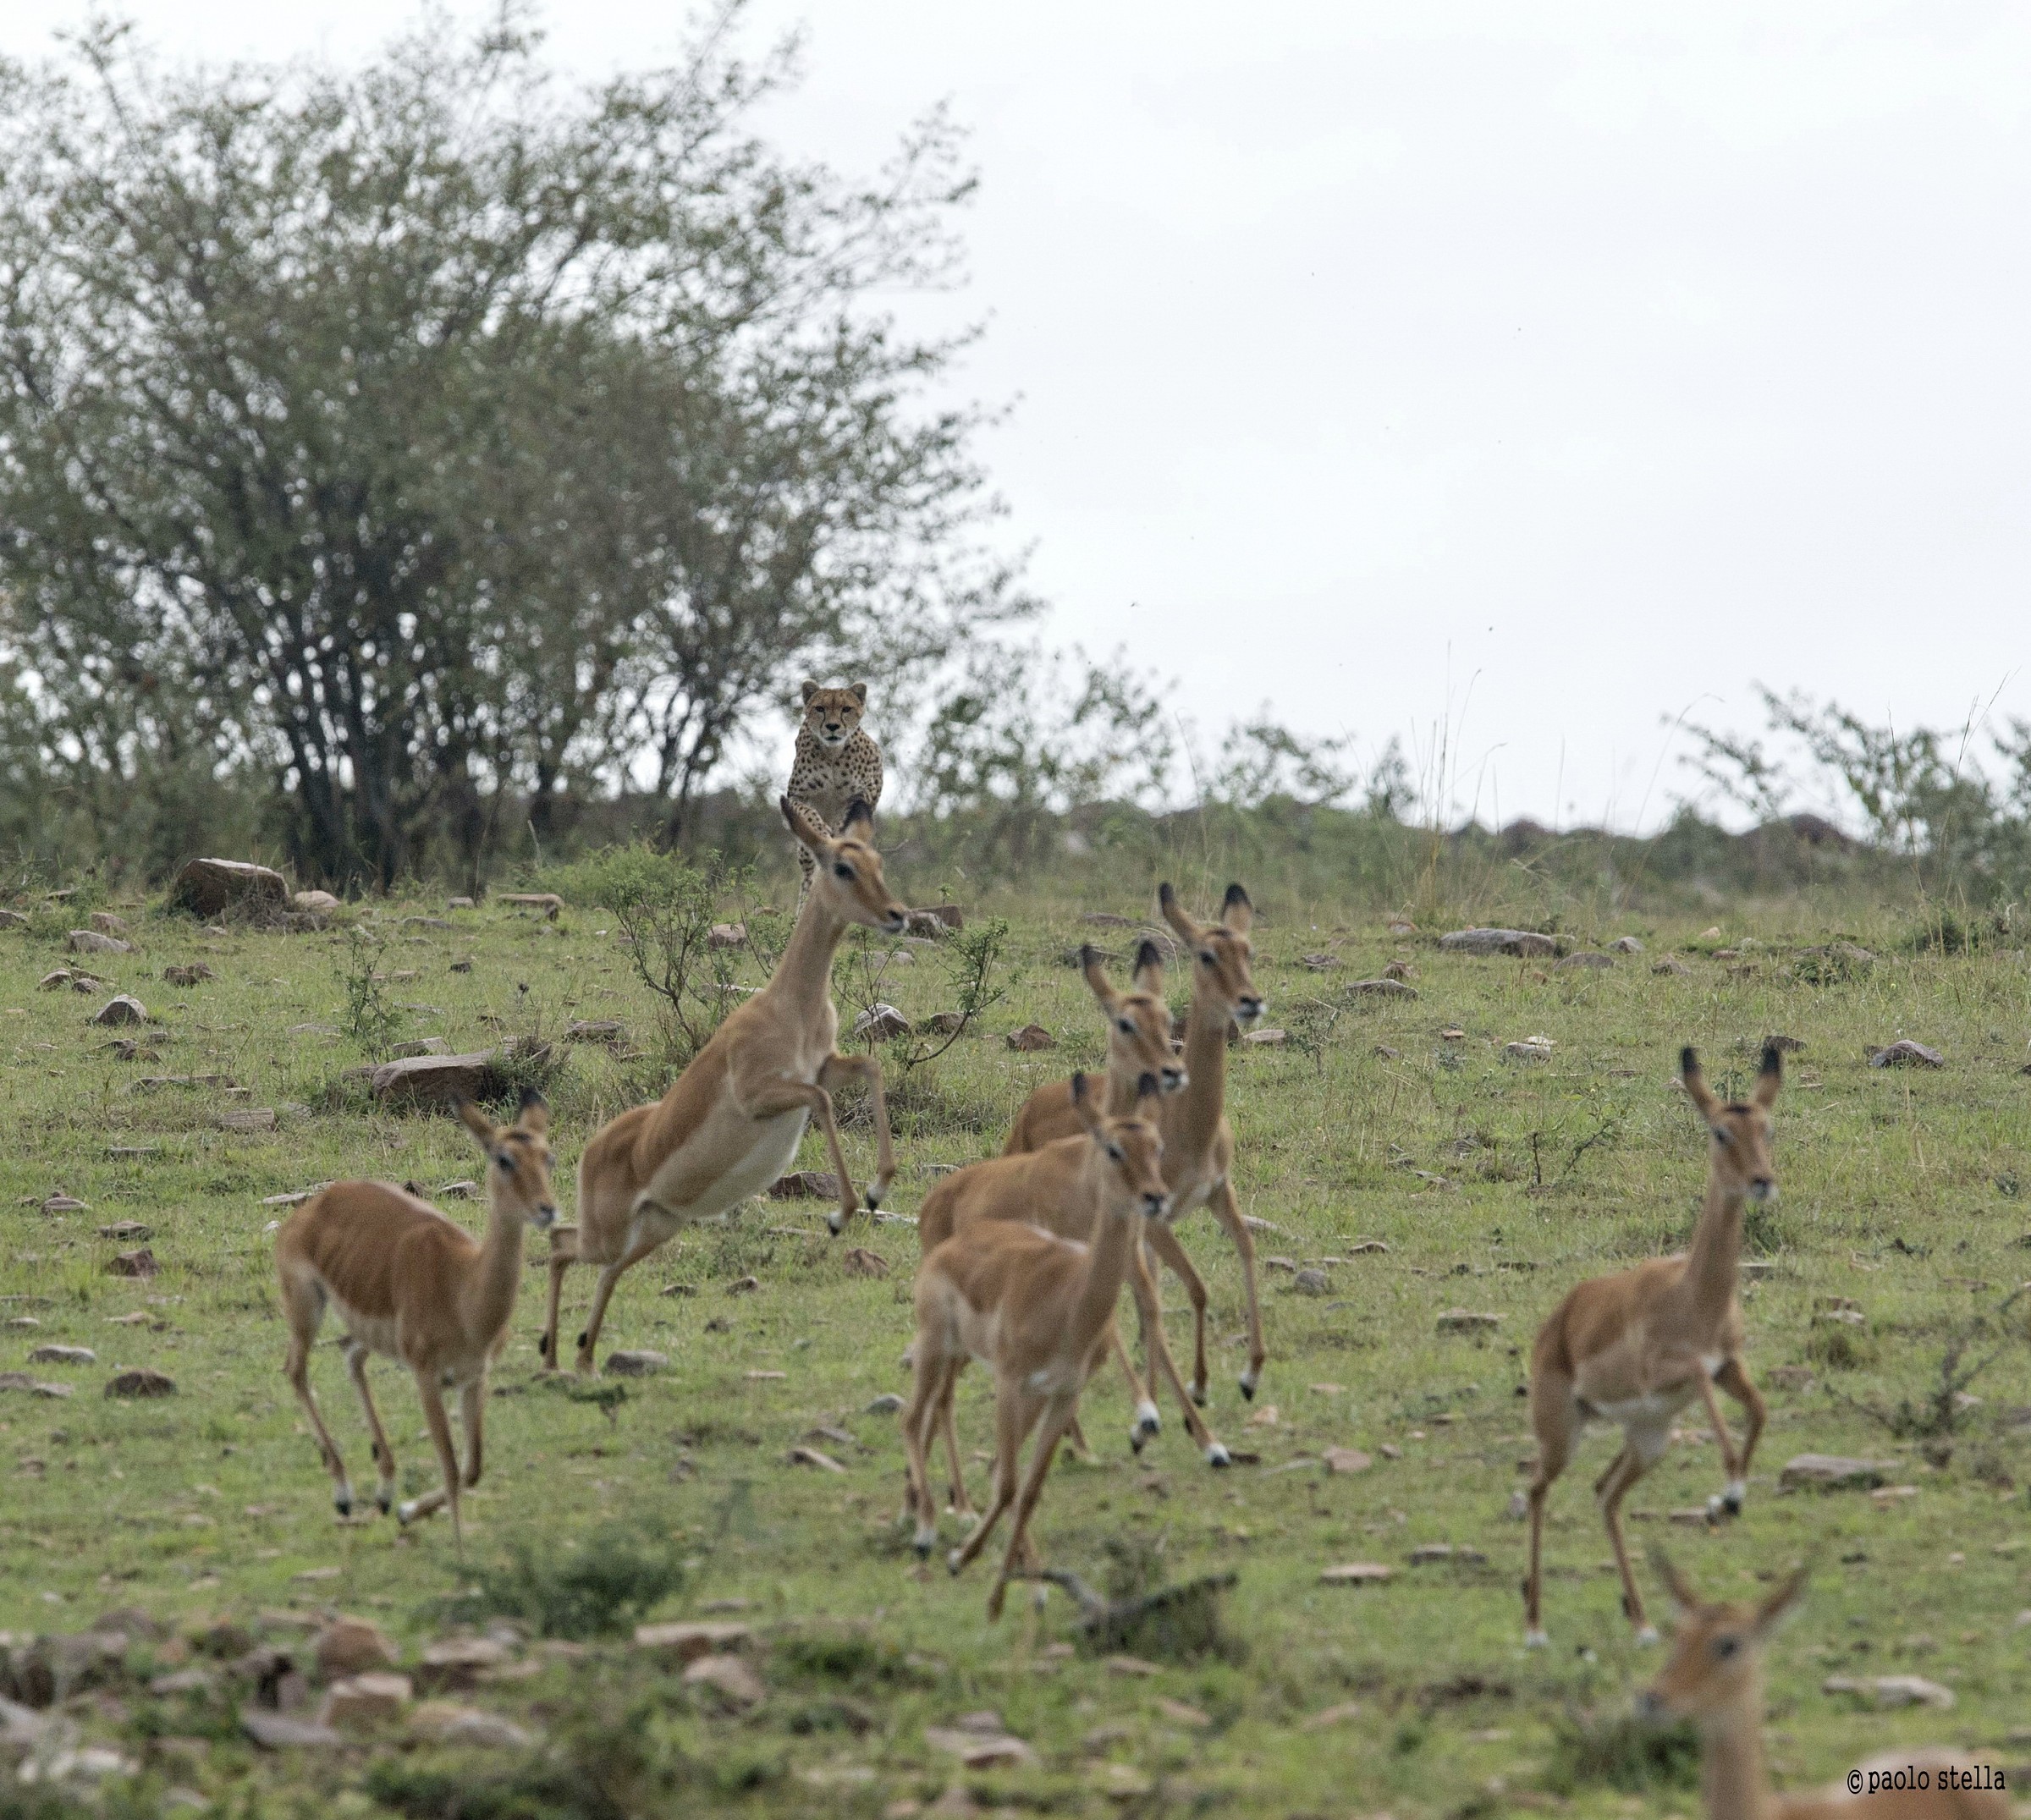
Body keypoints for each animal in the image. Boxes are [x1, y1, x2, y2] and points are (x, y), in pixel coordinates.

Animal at [786, 680, 884, 899]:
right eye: (820, 709)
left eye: (846, 709)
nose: (832, 726)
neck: (832, 752)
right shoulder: (797, 797)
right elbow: (809, 813)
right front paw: (822, 830)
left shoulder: (866, 792)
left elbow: (847, 813)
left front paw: (839, 830)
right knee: (809, 872)